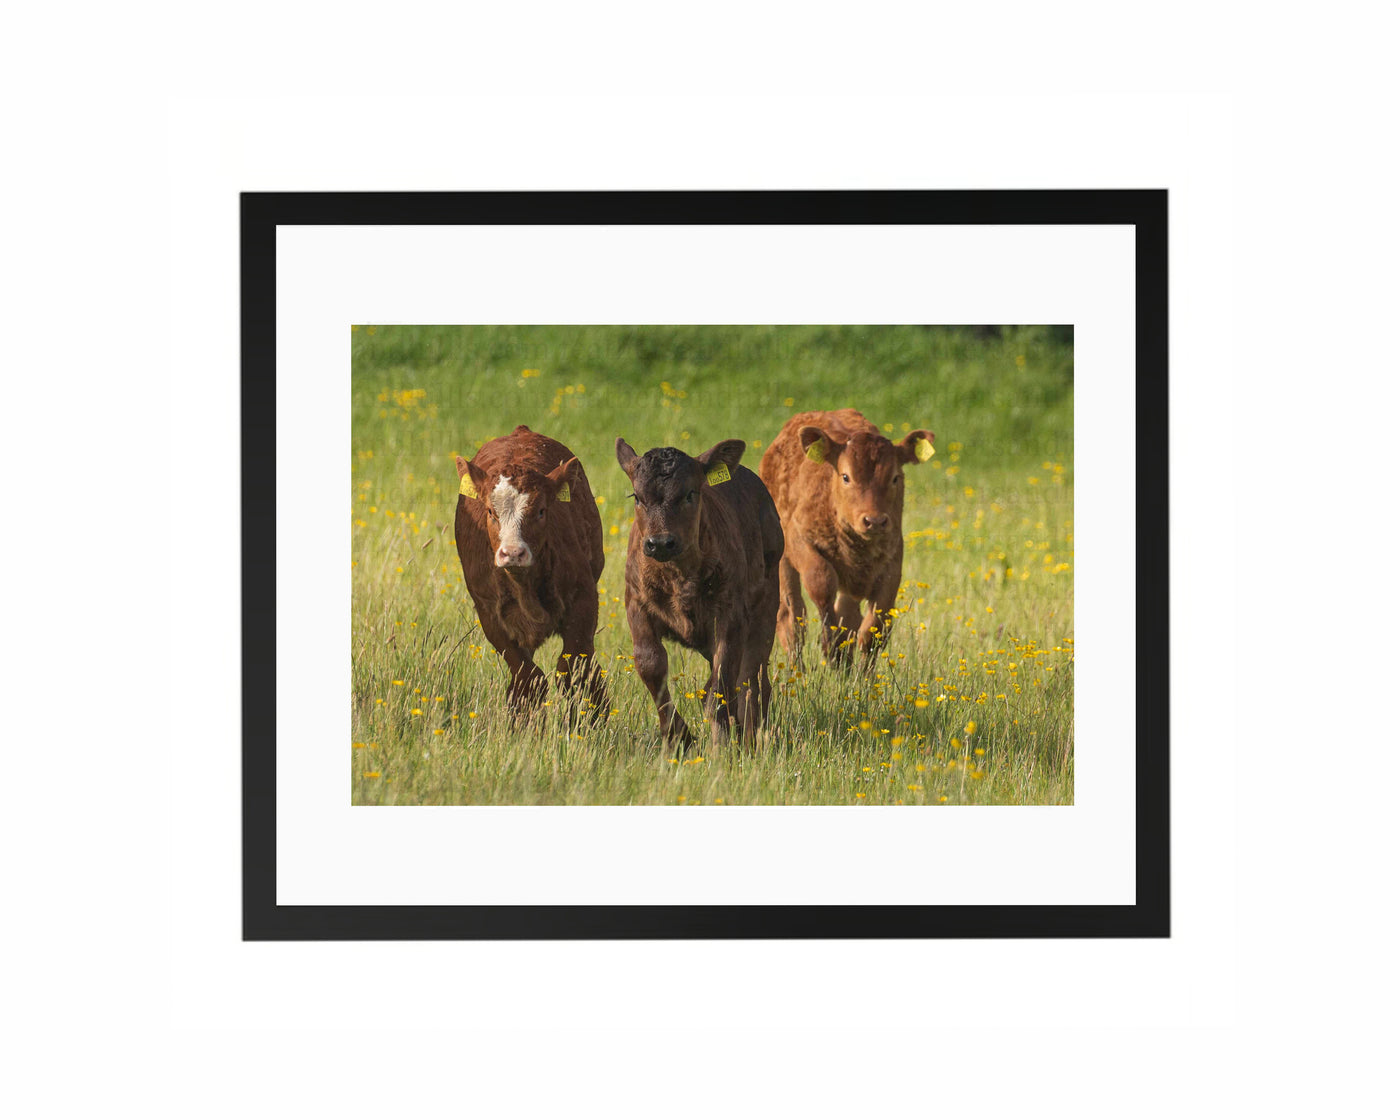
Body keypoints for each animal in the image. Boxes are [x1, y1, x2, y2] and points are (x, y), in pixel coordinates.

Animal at [454, 425, 607, 719]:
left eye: (541, 511)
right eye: (490, 512)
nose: (513, 553)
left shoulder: (584, 598)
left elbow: (574, 668)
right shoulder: (489, 612)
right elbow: (528, 678)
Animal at [615, 436, 784, 749]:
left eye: (690, 494)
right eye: (637, 497)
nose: (660, 543)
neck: (679, 577)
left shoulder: (730, 616)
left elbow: (723, 678)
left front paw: (721, 746)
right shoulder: (636, 604)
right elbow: (651, 664)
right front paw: (679, 737)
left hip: (767, 604)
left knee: (752, 677)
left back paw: (752, 736)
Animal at [758, 409, 936, 667]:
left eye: (895, 477)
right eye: (845, 476)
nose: (874, 521)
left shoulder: (892, 565)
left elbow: (873, 628)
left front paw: (860, 673)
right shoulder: (800, 541)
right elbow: (821, 584)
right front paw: (831, 647)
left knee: (847, 613)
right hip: (781, 559)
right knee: (790, 617)